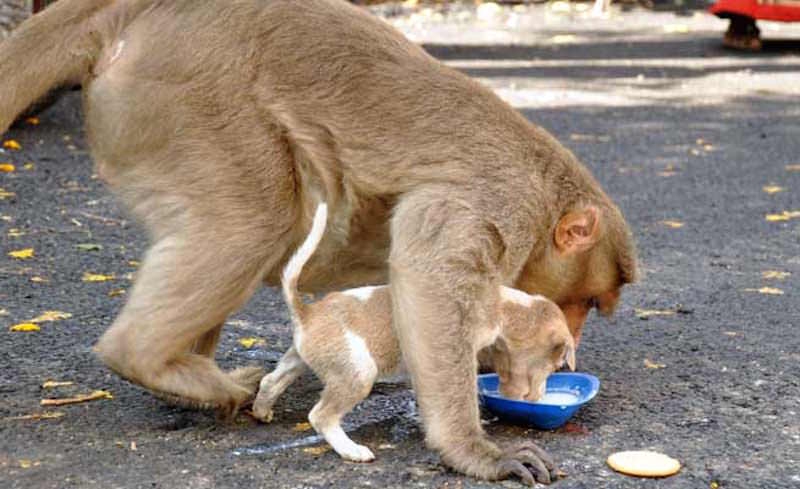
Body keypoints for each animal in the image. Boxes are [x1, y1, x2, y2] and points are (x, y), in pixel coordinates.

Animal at [255, 202, 576, 472]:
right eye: (556, 364)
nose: (539, 398)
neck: (505, 306)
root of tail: (307, 312)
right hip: (357, 373)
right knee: (320, 416)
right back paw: (352, 449)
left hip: (300, 359)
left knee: (271, 381)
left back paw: (261, 410)